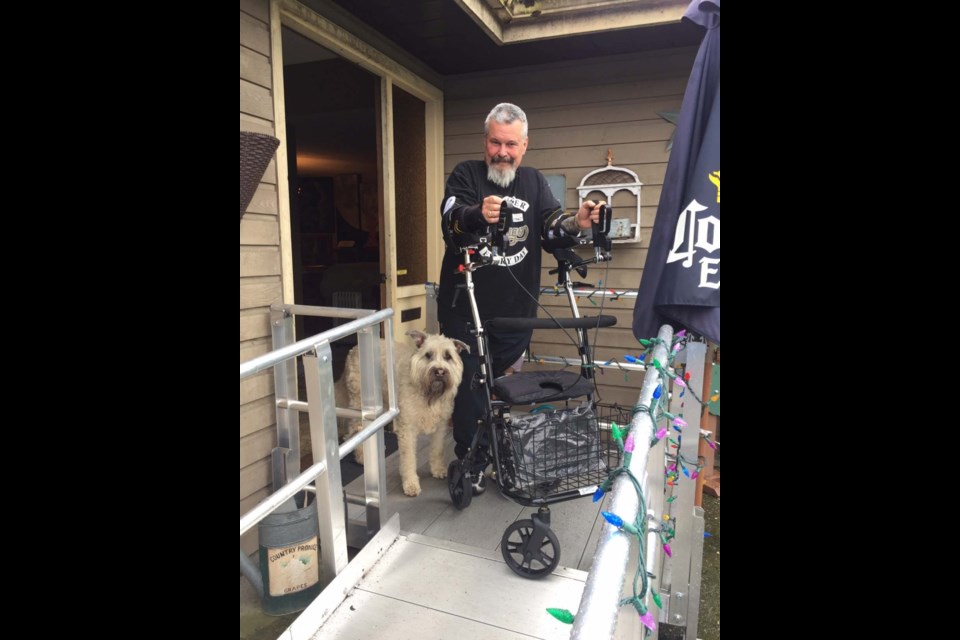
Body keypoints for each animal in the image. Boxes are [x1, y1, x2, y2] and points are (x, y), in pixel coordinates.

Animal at [342, 328, 468, 498]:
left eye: (448, 356)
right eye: (428, 355)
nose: (440, 371)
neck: (428, 394)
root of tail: (354, 349)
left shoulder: (441, 427)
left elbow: (437, 449)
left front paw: (437, 469)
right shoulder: (407, 430)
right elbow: (408, 459)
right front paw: (411, 484)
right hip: (359, 403)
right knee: (357, 430)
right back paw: (361, 456)